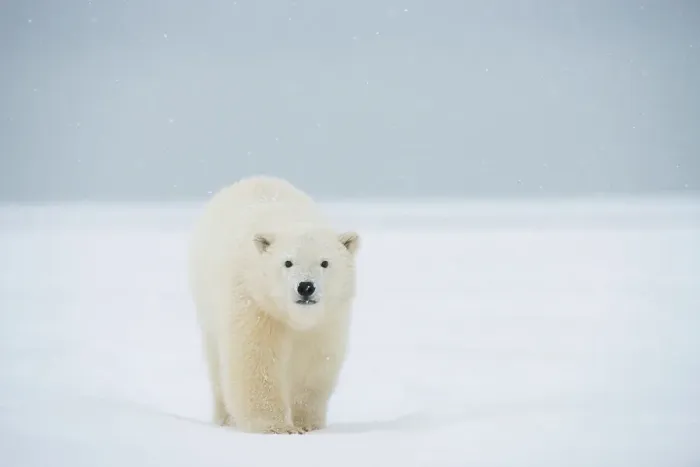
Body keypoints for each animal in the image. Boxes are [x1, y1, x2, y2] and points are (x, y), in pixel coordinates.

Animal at [187, 175, 360, 434]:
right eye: (288, 262)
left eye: (325, 262)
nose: (305, 287)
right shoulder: (254, 302)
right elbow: (255, 359)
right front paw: (277, 427)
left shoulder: (327, 320)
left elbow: (315, 362)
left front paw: (307, 425)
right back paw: (224, 419)